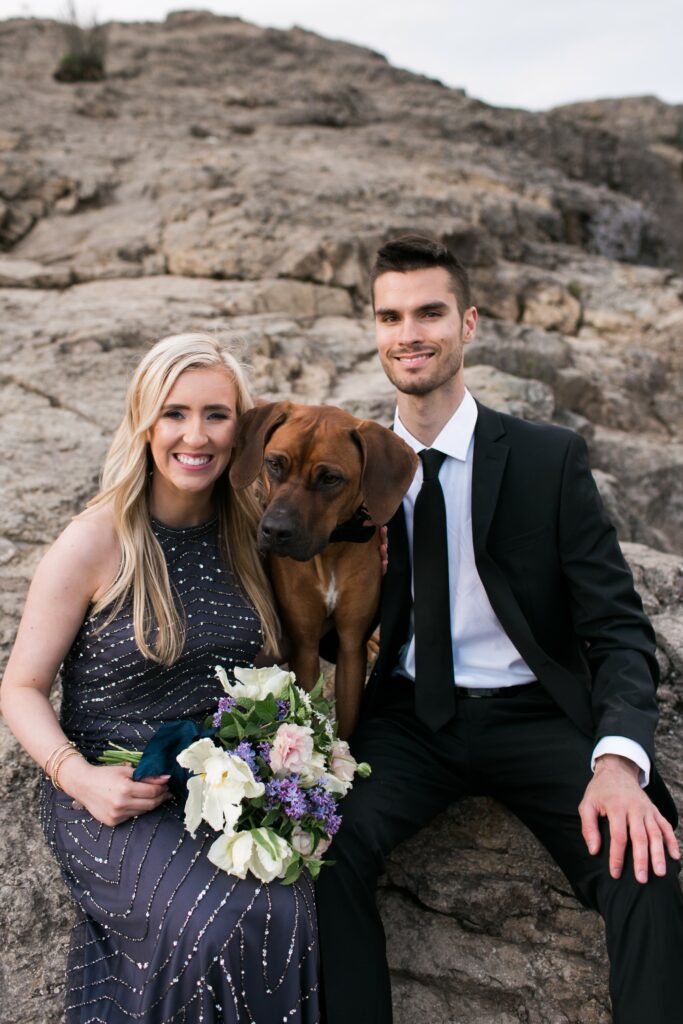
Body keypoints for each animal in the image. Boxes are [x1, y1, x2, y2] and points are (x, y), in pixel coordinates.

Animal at [229, 401, 418, 738]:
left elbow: (348, 719)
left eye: (330, 478)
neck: (328, 551)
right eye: (273, 464)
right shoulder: (304, 644)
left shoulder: (350, 645)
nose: (275, 531)